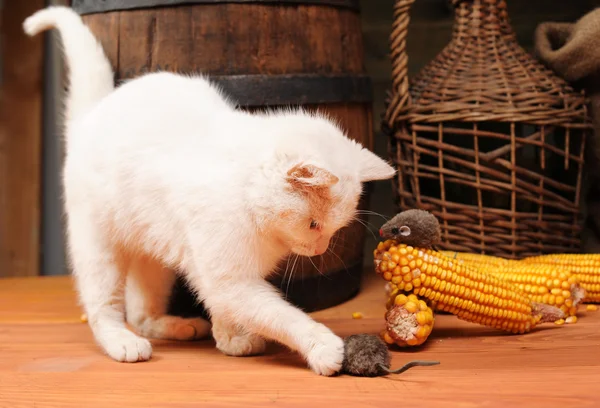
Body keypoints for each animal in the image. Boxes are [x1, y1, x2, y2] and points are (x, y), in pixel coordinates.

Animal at [25, 6, 396, 376]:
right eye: (314, 225)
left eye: (334, 229)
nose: (320, 250)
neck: (247, 195)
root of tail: (92, 113)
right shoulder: (230, 279)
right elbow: (277, 315)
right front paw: (321, 346)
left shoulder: (213, 270)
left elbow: (226, 308)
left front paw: (231, 339)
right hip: (100, 249)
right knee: (104, 306)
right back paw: (122, 341)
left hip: (155, 255)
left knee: (142, 312)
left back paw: (177, 326)